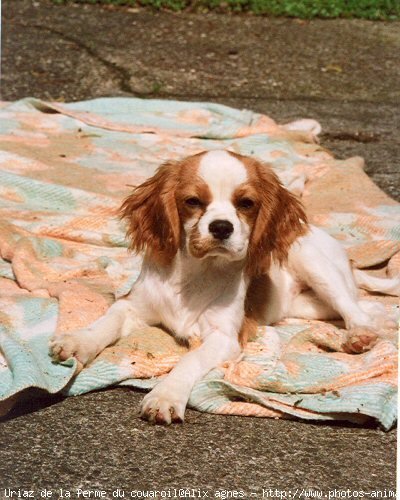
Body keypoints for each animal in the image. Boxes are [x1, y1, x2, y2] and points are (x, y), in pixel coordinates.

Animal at [50, 150, 400, 424]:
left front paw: (165, 396)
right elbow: (107, 321)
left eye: (245, 203)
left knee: (358, 308)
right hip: (304, 305)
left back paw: (359, 336)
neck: (196, 273)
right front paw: (78, 342)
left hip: (314, 263)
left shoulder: (223, 337)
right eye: (192, 201)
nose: (221, 227)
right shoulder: (133, 305)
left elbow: (189, 360)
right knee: (362, 306)